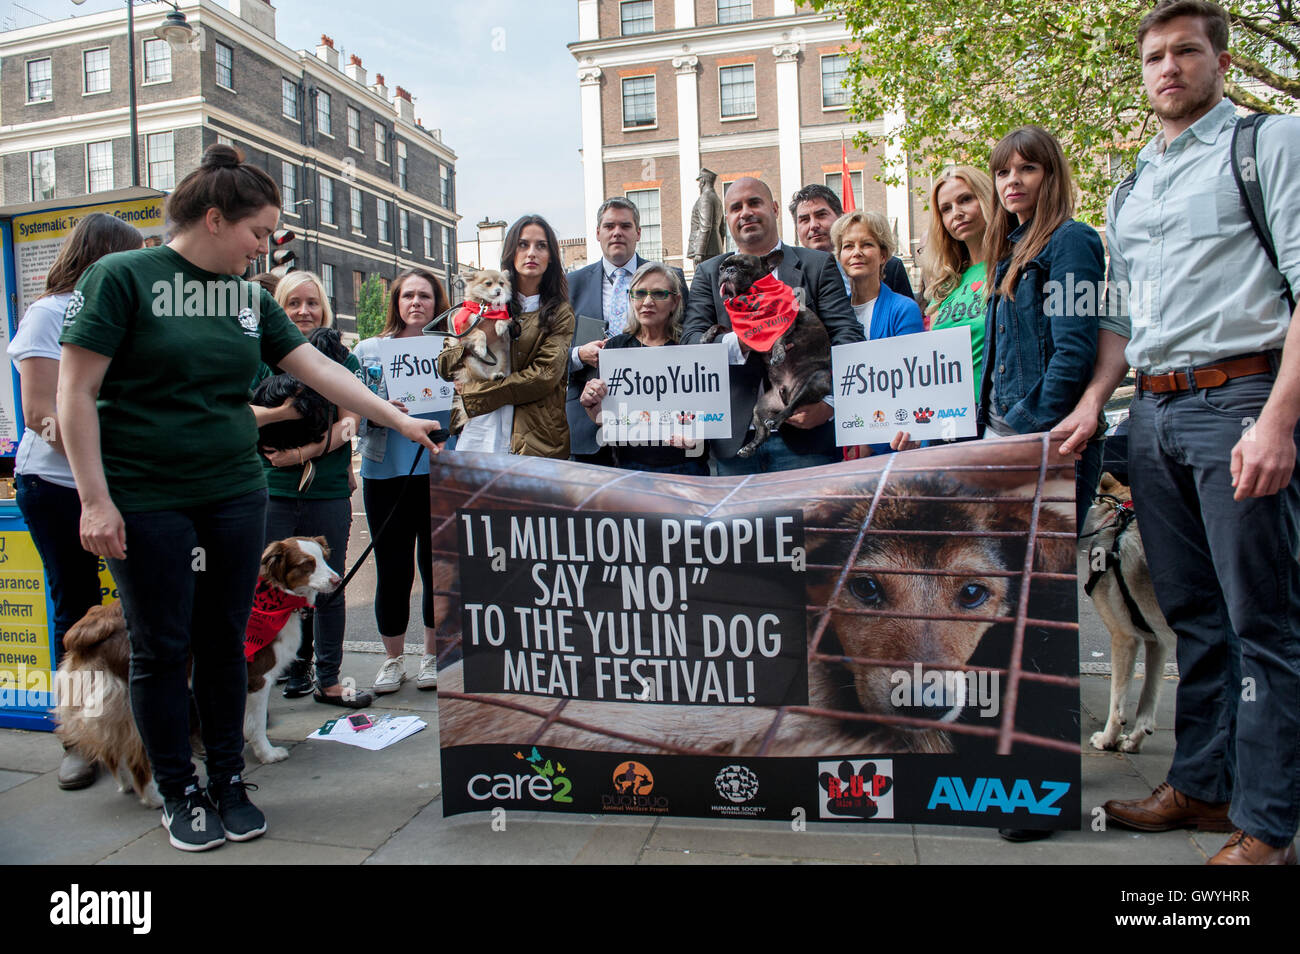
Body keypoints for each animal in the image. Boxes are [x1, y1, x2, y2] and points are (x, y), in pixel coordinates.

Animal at [53, 538, 343, 805]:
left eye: (324, 557)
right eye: (306, 564)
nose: (338, 580)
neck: (275, 596)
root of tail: (91, 624)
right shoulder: (257, 678)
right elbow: (256, 722)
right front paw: (267, 754)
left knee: (114, 747)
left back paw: (127, 785)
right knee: (137, 754)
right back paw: (154, 797)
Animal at [707, 250, 826, 460]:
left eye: (744, 266)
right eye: (721, 268)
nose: (729, 270)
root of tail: (785, 395)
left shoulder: (787, 320)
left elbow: (779, 336)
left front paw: (778, 354)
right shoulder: (738, 330)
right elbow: (720, 326)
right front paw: (707, 335)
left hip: (816, 381)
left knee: (791, 408)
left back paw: (777, 419)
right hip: (760, 408)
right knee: (764, 432)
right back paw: (749, 447)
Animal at [1076, 475, 1180, 753]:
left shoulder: (1123, 636)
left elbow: (1117, 700)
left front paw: (1107, 739)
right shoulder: (1156, 641)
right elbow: (1148, 699)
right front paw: (1134, 740)